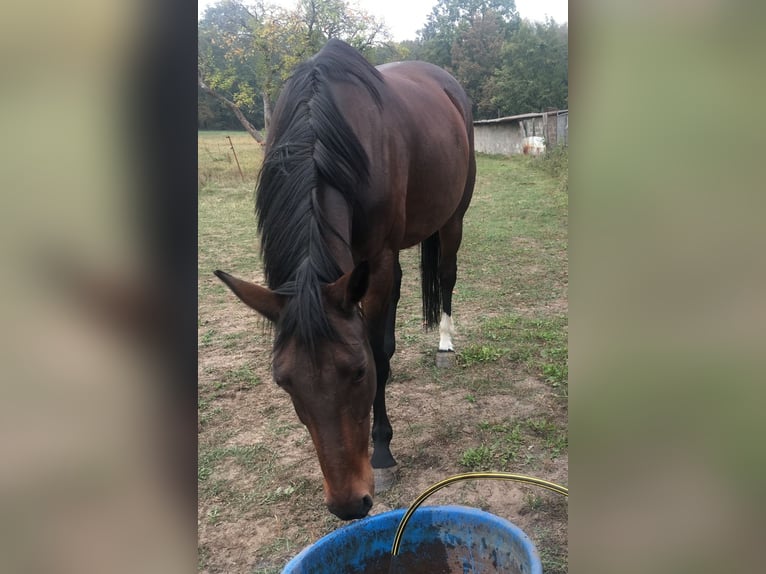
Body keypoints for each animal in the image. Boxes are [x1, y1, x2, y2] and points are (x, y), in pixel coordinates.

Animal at [214, 39, 475, 520]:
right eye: (283, 381)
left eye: (357, 372)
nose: (348, 504)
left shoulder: (377, 258)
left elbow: (379, 350)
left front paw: (383, 453)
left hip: (452, 219)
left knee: (446, 277)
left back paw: (445, 345)